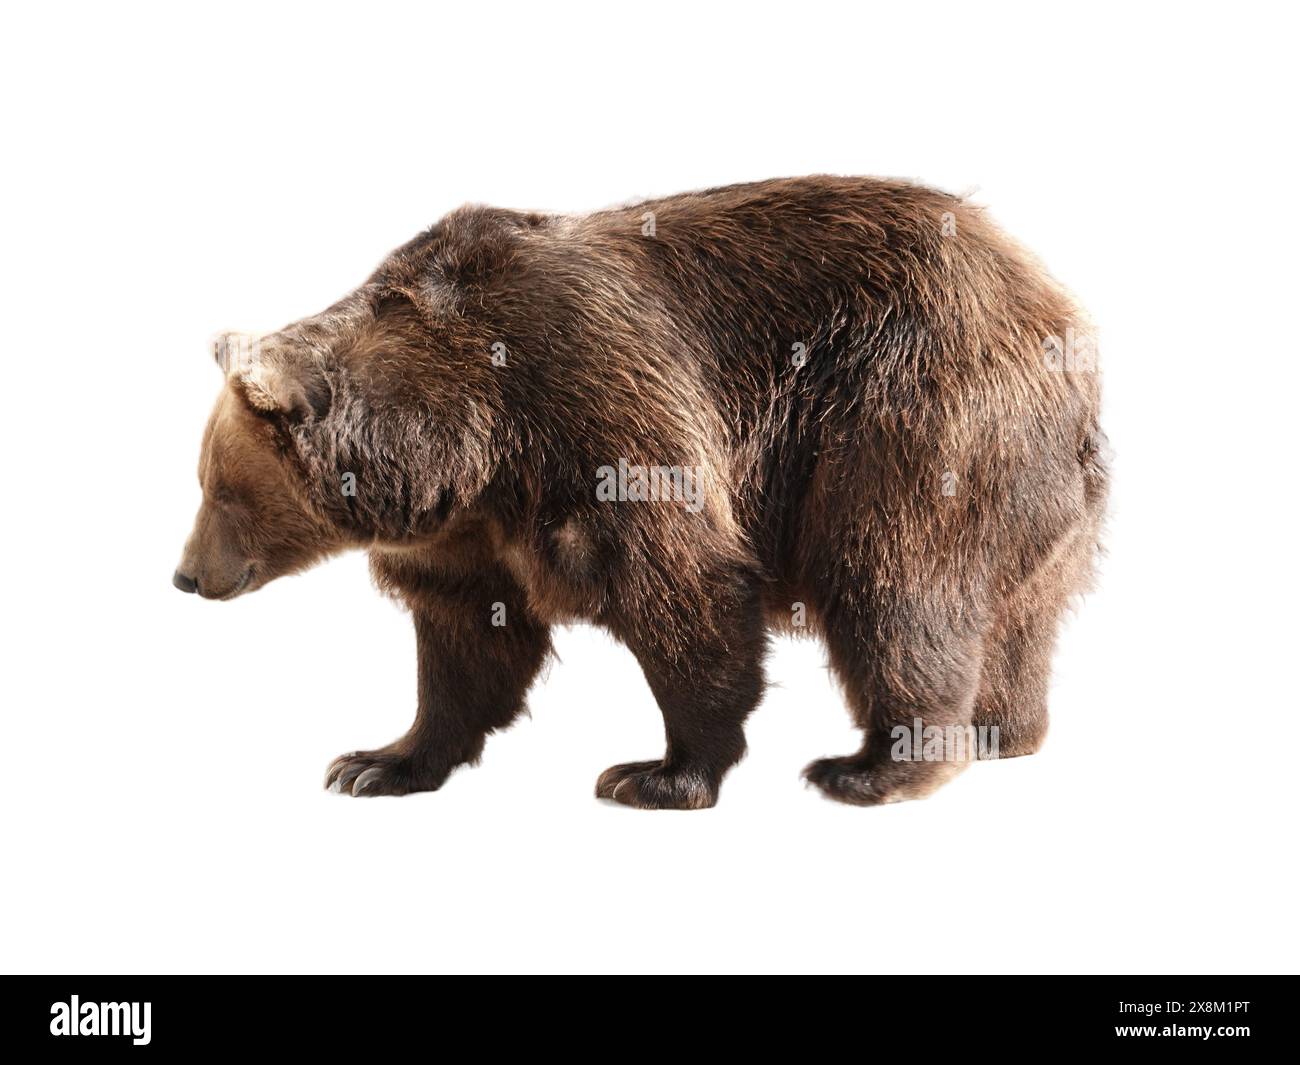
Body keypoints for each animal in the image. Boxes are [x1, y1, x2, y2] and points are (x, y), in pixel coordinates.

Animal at [174, 176, 1107, 809]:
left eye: (219, 490)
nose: (185, 574)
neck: (468, 438)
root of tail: (1058, 313)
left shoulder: (598, 399)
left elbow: (684, 584)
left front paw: (657, 771)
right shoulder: (467, 533)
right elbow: (467, 643)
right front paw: (377, 760)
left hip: (915, 407)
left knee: (895, 578)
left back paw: (874, 765)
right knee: (1016, 610)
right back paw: (1000, 731)